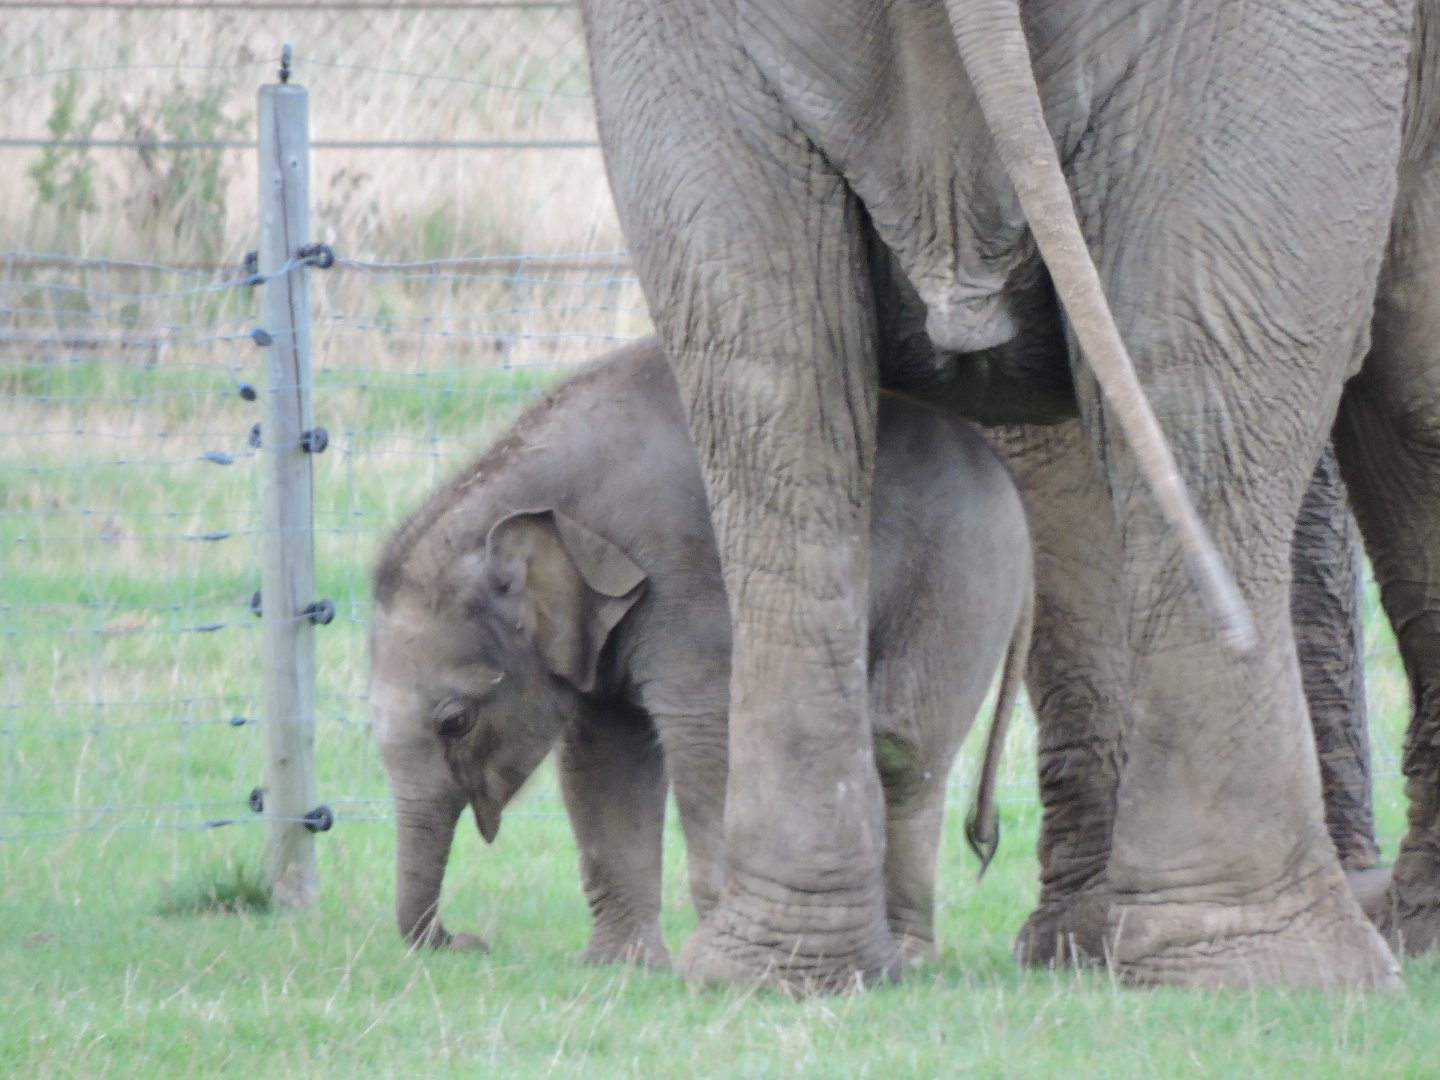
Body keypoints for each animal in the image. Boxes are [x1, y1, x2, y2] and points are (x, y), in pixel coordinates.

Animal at [369, 338, 1034, 970]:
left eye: (456, 721)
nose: (467, 941)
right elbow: (602, 756)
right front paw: (619, 966)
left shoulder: (686, 581)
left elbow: (706, 735)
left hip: (964, 579)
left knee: (903, 751)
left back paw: (909, 956)